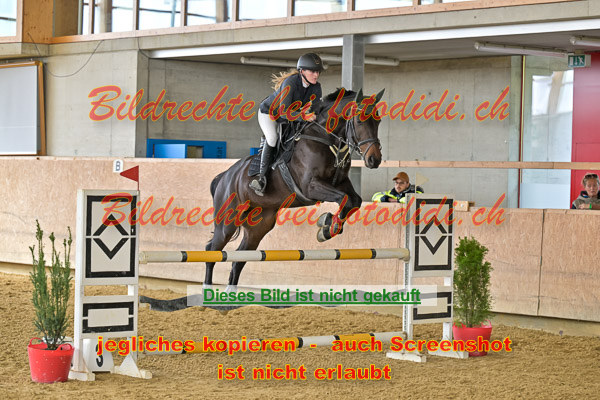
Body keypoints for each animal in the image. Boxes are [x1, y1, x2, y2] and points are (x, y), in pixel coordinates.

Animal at [204, 88, 385, 289]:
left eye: (378, 120)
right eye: (360, 120)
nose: (374, 160)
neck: (325, 139)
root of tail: (224, 177)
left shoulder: (341, 183)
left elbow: (354, 201)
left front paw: (328, 227)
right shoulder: (311, 186)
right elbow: (344, 199)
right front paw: (327, 226)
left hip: (259, 225)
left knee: (239, 258)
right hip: (227, 221)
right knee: (212, 250)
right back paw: (207, 289)